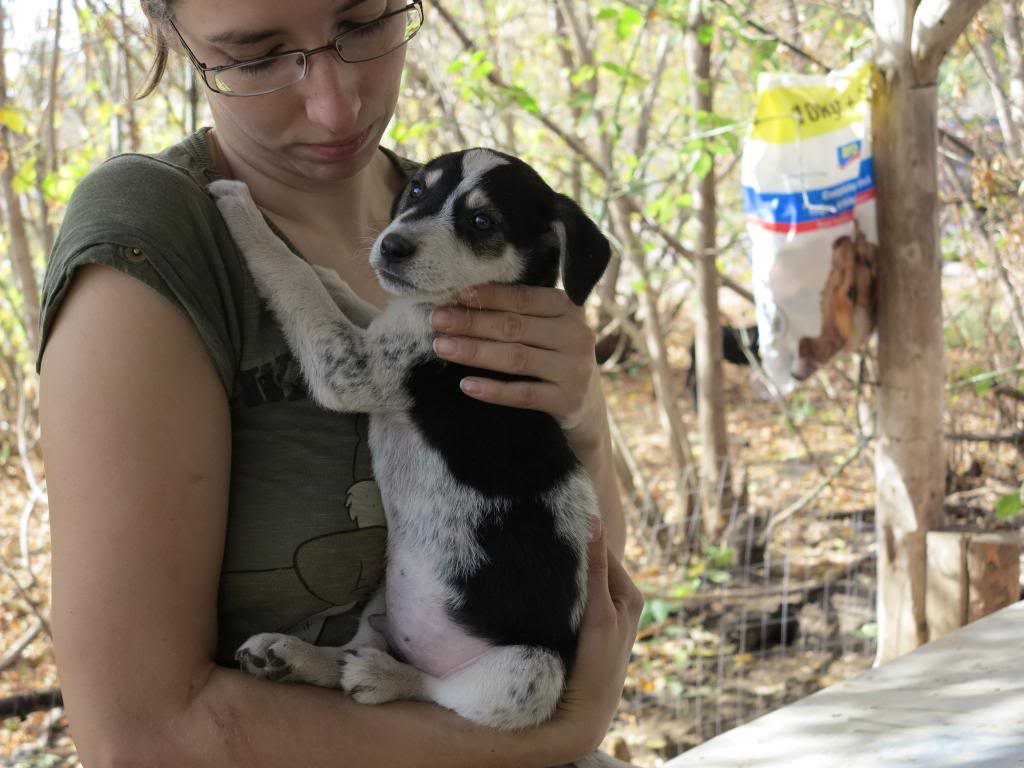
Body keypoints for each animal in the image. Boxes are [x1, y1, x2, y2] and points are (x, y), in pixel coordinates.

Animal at [207, 150, 606, 733]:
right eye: (417, 190)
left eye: (482, 222)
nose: (391, 245)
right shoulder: (377, 334)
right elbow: (356, 299)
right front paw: (332, 273)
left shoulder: (353, 368)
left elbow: (293, 276)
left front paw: (242, 209)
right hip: (382, 601)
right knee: (353, 650)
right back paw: (294, 657)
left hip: (530, 671)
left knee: (434, 689)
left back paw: (378, 676)